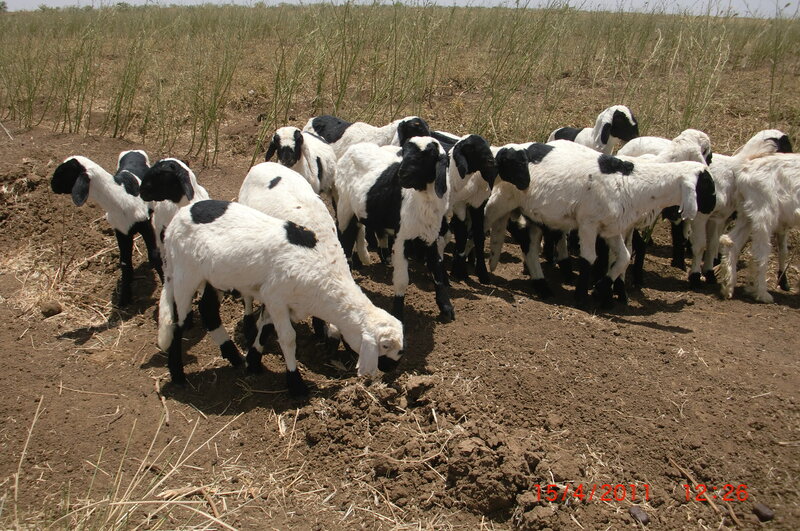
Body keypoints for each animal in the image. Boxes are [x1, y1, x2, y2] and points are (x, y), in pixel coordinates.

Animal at [51, 151, 162, 306]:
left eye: (65, 172)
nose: (52, 185)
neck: (119, 196)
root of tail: (134, 151)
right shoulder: (121, 231)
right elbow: (125, 263)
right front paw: (124, 299)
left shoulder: (145, 226)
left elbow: (154, 256)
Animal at [158, 199, 404, 396]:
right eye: (384, 346)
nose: (394, 368)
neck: (325, 277)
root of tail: (176, 219)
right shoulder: (275, 296)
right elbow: (287, 338)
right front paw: (296, 385)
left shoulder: (279, 300)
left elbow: (265, 328)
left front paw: (253, 363)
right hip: (185, 274)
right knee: (178, 322)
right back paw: (178, 375)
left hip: (213, 277)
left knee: (208, 311)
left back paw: (233, 356)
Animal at [335, 136, 454, 323]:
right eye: (404, 153)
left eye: (425, 156)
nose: (401, 175)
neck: (422, 198)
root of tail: (352, 149)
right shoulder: (402, 238)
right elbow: (402, 280)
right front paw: (398, 314)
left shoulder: (431, 236)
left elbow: (436, 270)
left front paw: (446, 307)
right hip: (345, 207)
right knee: (345, 241)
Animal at [485, 140, 716, 305]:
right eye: (706, 184)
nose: (713, 206)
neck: (634, 184)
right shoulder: (588, 222)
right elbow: (589, 258)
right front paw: (582, 298)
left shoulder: (611, 228)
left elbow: (624, 257)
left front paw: (600, 290)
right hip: (503, 200)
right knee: (487, 220)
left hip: (534, 213)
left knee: (529, 245)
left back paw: (542, 286)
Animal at [719, 153, 800, 303]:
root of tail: (744, 168)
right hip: (764, 213)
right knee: (759, 252)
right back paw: (762, 294)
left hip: (747, 214)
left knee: (731, 241)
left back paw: (728, 287)